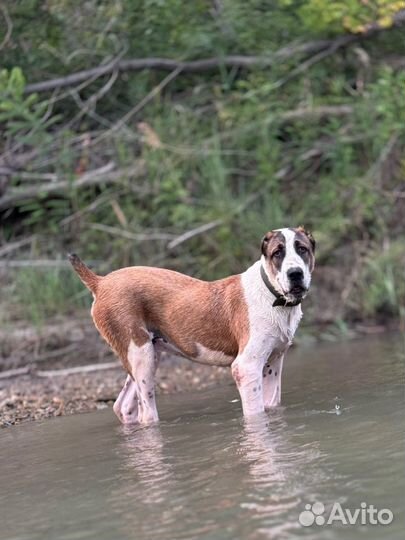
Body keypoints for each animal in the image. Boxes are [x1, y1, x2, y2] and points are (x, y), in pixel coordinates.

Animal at [69, 226, 314, 424]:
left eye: (302, 249)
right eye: (277, 253)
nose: (295, 273)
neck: (272, 295)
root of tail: (101, 282)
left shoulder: (272, 363)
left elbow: (272, 407)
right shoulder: (246, 368)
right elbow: (256, 415)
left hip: (148, 354)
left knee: (123, 406)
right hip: (141, 357)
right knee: (146, 414)